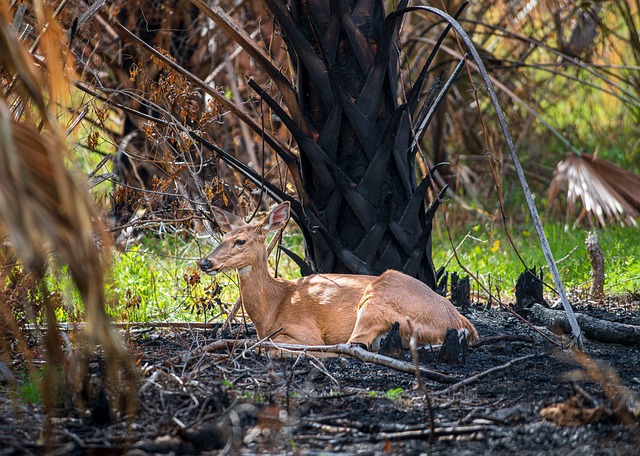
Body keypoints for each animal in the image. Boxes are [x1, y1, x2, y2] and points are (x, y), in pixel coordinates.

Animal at [198, 202, 477, 351]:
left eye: (240, 241)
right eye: (223, 237)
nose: (205, 262)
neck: (272, 307)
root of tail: (464, 325)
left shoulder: (303, 329)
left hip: (376, 301)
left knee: (351, 345)